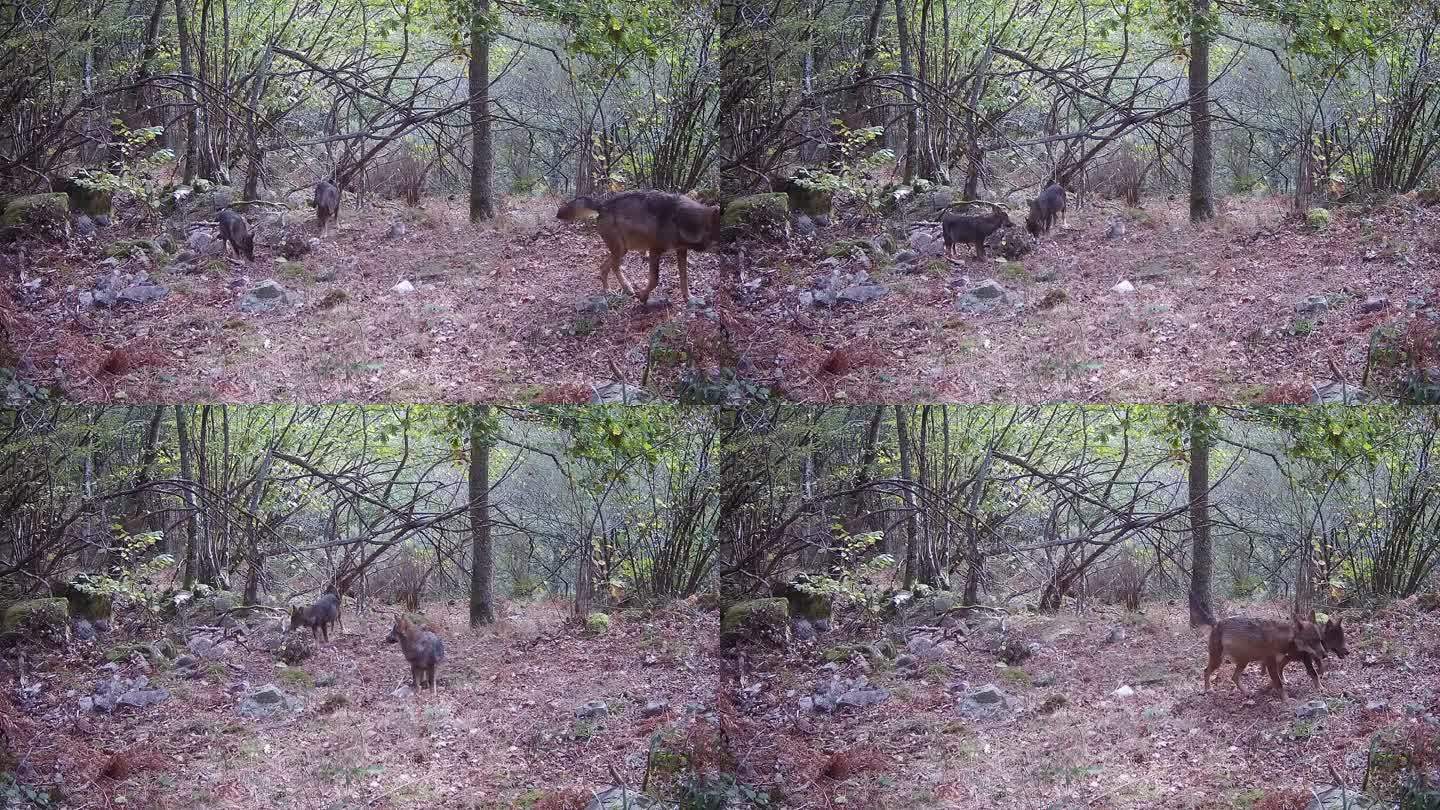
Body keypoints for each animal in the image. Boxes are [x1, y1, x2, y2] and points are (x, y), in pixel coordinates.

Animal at [558, 190, 725, 304]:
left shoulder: (681, 251)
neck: (681, 221)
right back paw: (615, 290)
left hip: (622, 250)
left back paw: (620, 289)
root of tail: (602, 204)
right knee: (609, 266)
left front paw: (689, 298)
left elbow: (684, 278)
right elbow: (655, 279)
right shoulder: (654, 251)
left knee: (606, 267)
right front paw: (643, 296)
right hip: (621, 250)